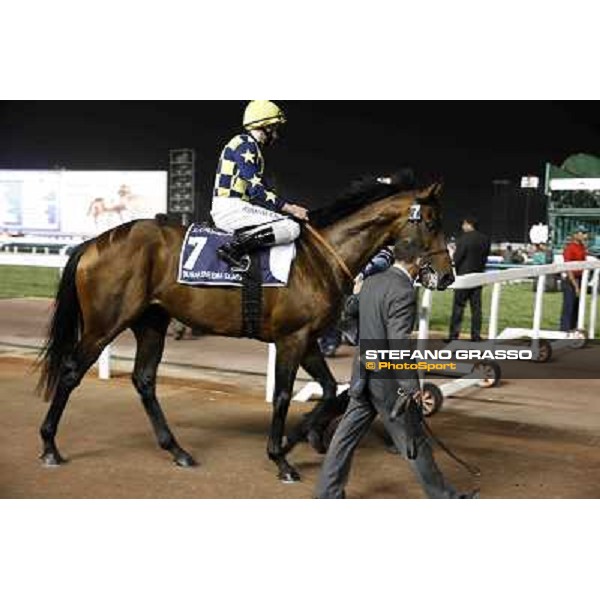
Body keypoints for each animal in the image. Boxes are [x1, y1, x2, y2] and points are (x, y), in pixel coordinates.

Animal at [37, 178, 452, 482]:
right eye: (432, 223)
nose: (447, 276)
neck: (320, 258)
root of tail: (93, 242)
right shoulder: (291, 339)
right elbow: (283, 395)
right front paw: (281, 457)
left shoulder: (309, 339)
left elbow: (331, 389)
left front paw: (305, 435)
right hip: (105, 324)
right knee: (71, 372)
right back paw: (50, 446)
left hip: (151, 322)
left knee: (144, 380)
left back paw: (177, 450)